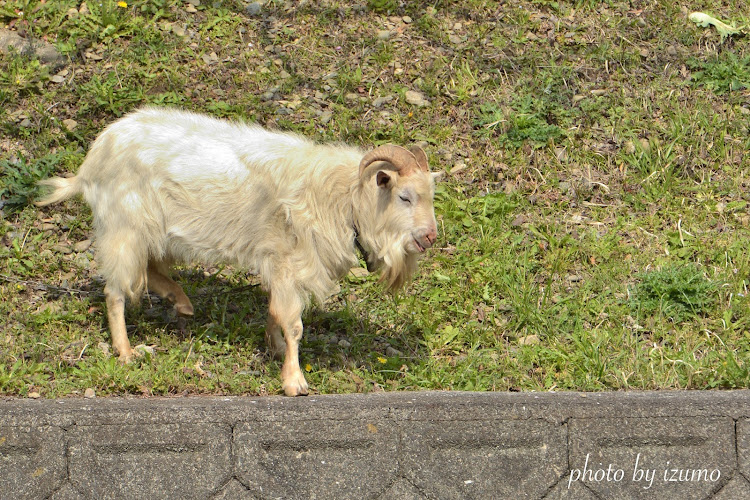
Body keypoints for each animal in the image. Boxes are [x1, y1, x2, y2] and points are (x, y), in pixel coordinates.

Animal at [36, 107, 440, 396]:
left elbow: (276, 312)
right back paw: (126, 351)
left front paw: (274, 349)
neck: (339, 197)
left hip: (155, 233)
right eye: (405, 197)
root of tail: (92, 161)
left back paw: (181, 302)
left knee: (149, 269)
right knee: (116, 291)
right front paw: (294, 381)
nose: (430, 237)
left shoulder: (280, 264)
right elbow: (292, 321)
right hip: (125, 226)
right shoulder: (287, 259)